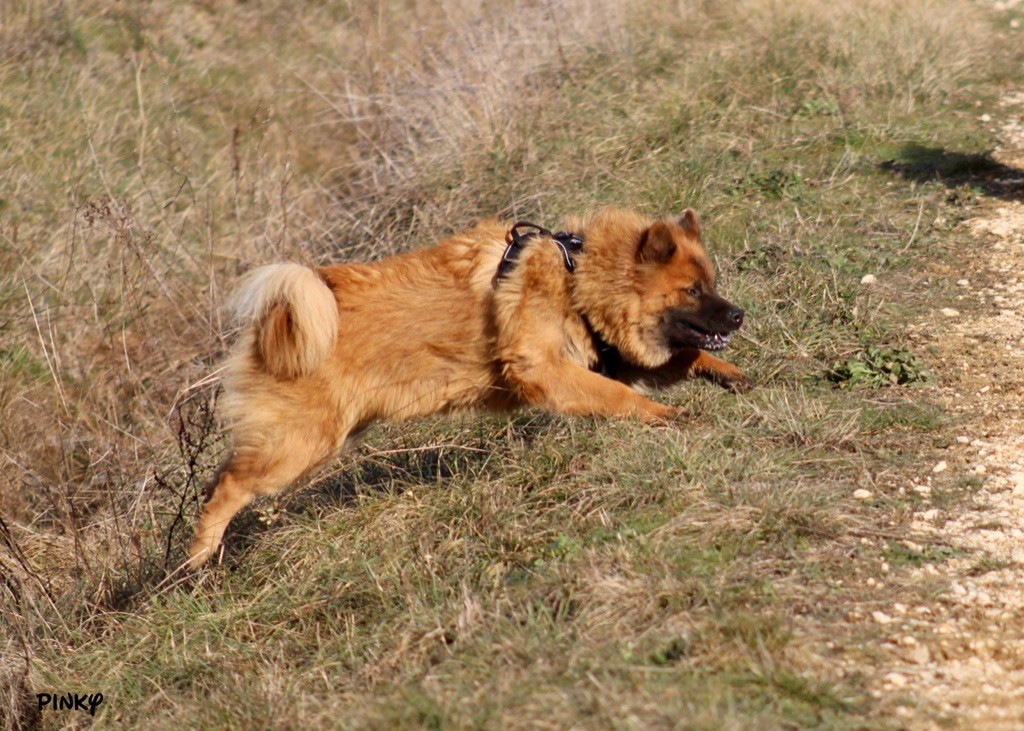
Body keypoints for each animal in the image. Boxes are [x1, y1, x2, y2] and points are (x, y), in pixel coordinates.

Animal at [190, 207, 753, 565]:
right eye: (692, 290)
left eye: (712, 284)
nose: (739, 314)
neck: (576, 278)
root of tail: (270, 326)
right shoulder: (548, 371)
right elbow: (623, 397)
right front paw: (669, 419)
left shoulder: (611, 358)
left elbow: (690, 357)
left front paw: (732, 377)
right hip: (300, 445)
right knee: (229, 487)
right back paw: (197, 560)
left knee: (219, 477)